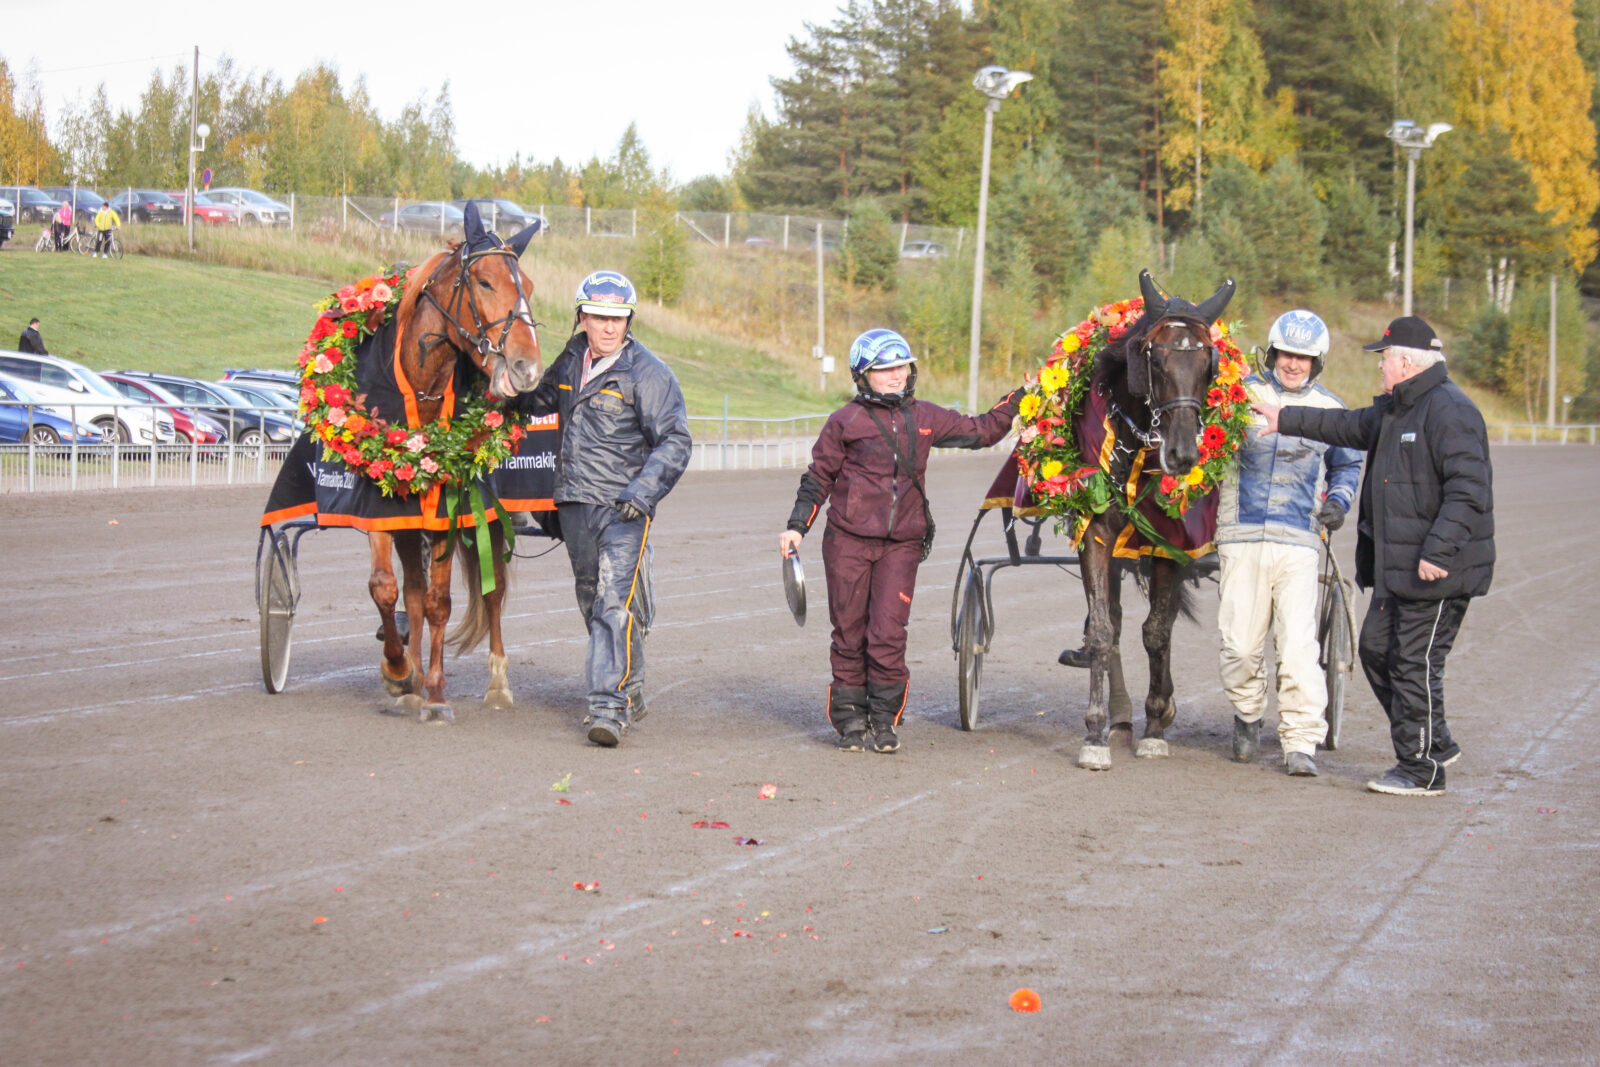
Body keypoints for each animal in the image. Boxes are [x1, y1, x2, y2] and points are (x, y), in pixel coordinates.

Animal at [372, 204, 544, 723]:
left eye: (528, 287)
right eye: (484, 282)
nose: (528, 367)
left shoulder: (451, 507)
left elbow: (439, 602)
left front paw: (435, 692)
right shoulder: (379, 503)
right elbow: (388, 589)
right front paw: (399, 673)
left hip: (488, 517)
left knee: (493, 593)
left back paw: (497, 682)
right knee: (410, 589)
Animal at [1075, 267, 1235, 767]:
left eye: (1207, 366)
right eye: (1156, 362)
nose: (1183, 454)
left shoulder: (1171, 542)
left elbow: (1158, 632)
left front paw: (1156, 722)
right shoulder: (1097, 533)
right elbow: (1102, 629)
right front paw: (1094, 733)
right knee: (1113, 617)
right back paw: (1119, 716)